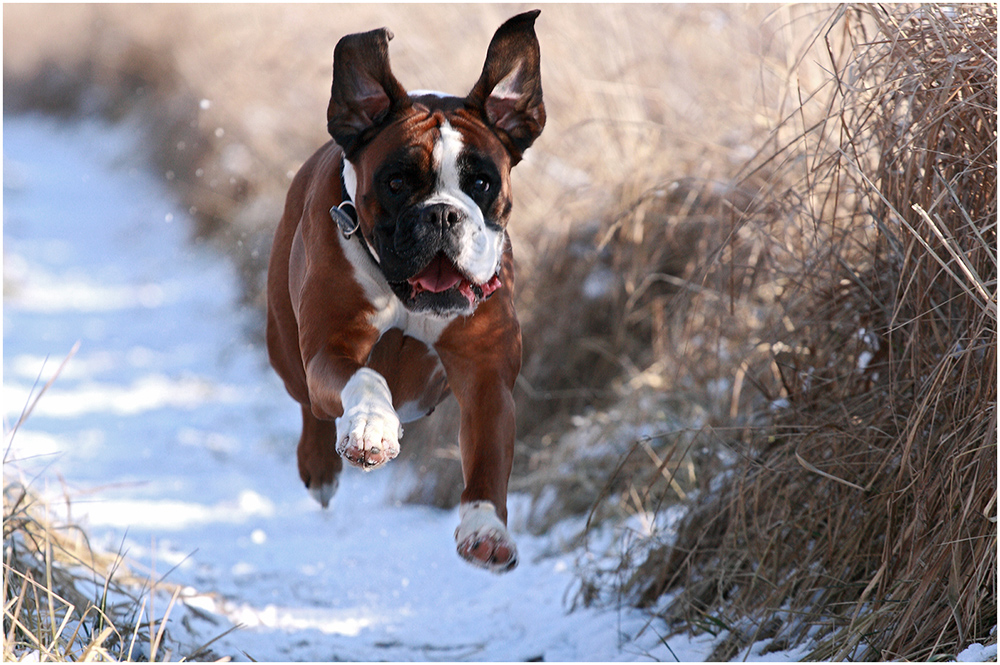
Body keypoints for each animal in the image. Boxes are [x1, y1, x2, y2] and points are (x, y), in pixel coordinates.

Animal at [266, 10, 544, 572]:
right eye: (396, 183)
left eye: (481, 183)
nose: (442, 214)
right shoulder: (331, 348)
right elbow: (365, 375)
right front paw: (371, 428)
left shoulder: (487, 376)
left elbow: (488, 457)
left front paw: (486, 530)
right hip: (287, 353)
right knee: (311, 405)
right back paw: (326, 463)